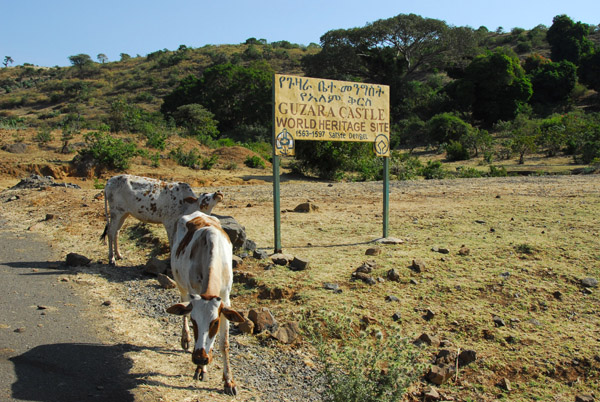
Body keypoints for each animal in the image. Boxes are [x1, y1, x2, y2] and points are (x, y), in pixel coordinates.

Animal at [165, 210, 245, 396]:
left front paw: (229, 381)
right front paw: (201, 369)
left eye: (215, 322)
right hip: (180, 284)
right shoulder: (192, 293)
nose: (200, 358)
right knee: (182, 305)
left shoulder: (226, 299)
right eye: (194, 322)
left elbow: (224, 343)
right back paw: (185, 338)